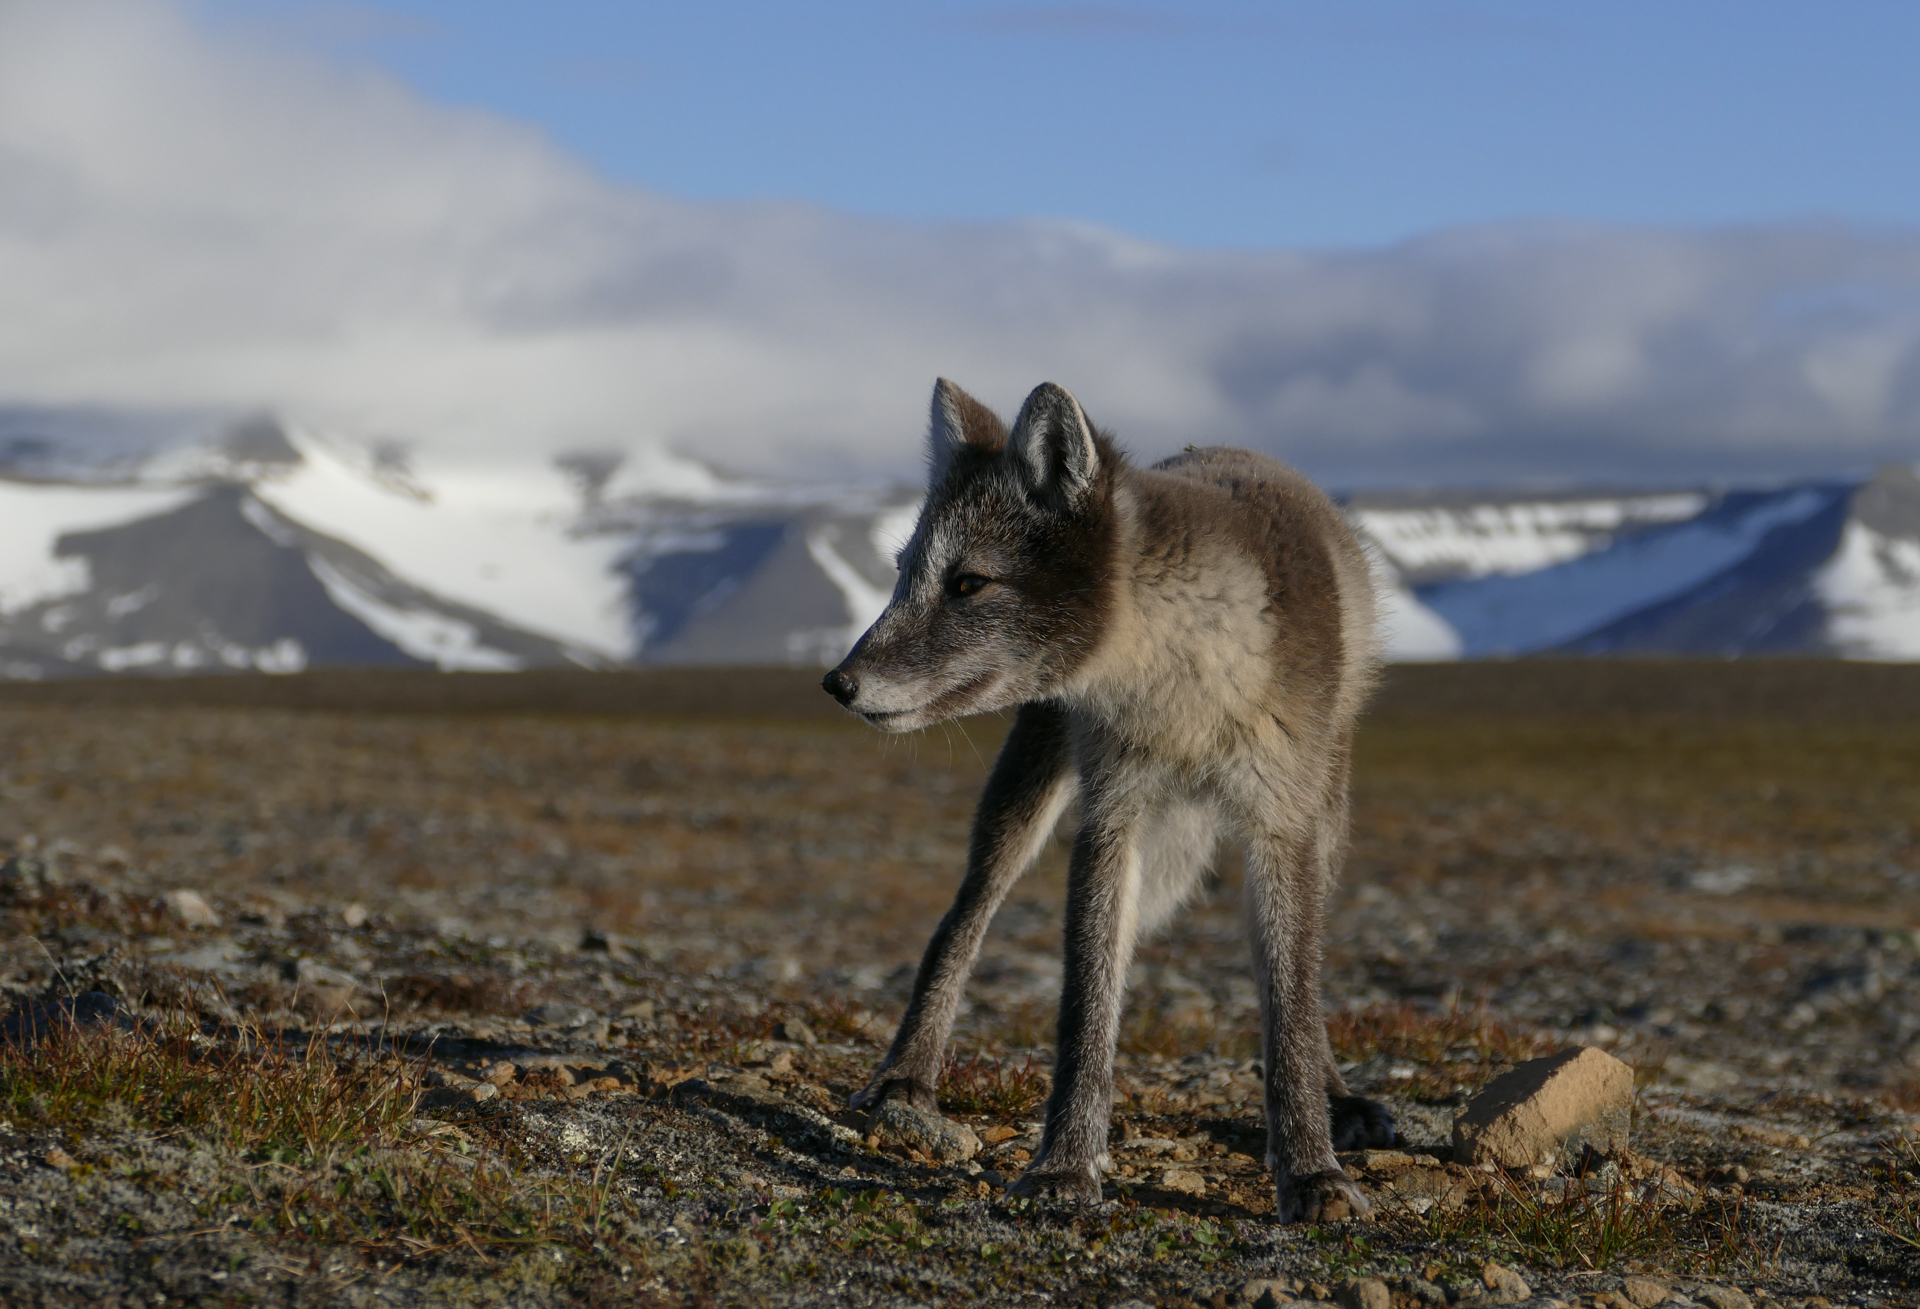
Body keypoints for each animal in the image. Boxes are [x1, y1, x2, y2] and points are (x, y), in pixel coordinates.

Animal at [825, 380, 1397, 1220]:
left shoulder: (1279, 823)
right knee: (962, 919)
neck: (1184, 694)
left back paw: (1337, 1095)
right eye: (903, 574)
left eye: (967, 583)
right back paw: (907, 1075)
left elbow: (1289, 1005)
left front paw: (1311, 1168)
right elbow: (1085, 1006)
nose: (836, 682)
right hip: (1026, 787)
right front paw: (1065, 1163)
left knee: (1303, 973)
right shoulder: (1112, 817)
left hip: (1327, 818)